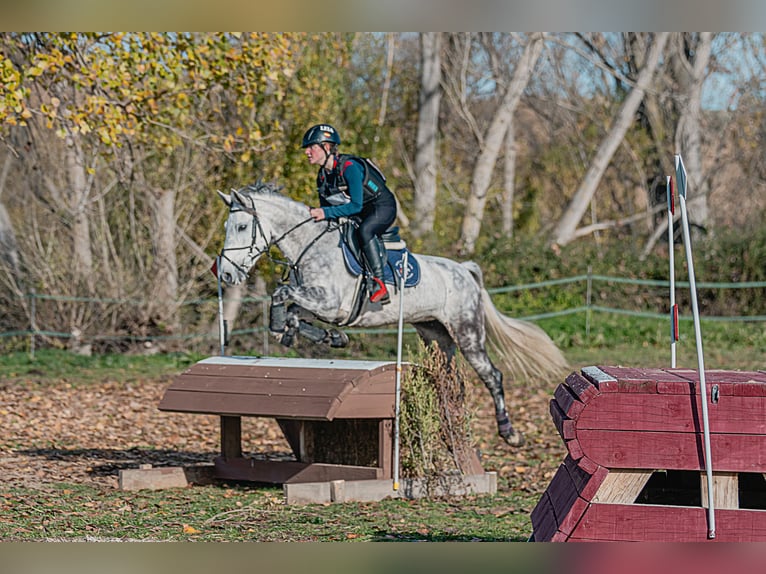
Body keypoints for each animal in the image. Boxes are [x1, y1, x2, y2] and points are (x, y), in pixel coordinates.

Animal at [216, 182, 568, 448]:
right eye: (227, 227)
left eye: (242, 226)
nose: (226, 274)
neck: (311, 245)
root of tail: (464, 270)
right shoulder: (317, 302)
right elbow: (294, 310)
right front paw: (322, 336)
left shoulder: (331, 303)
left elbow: (282, 295)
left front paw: (282, 326)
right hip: (435, 335)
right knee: (450, 379)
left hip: (467, 331)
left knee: (492, 375)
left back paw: (509, 433)